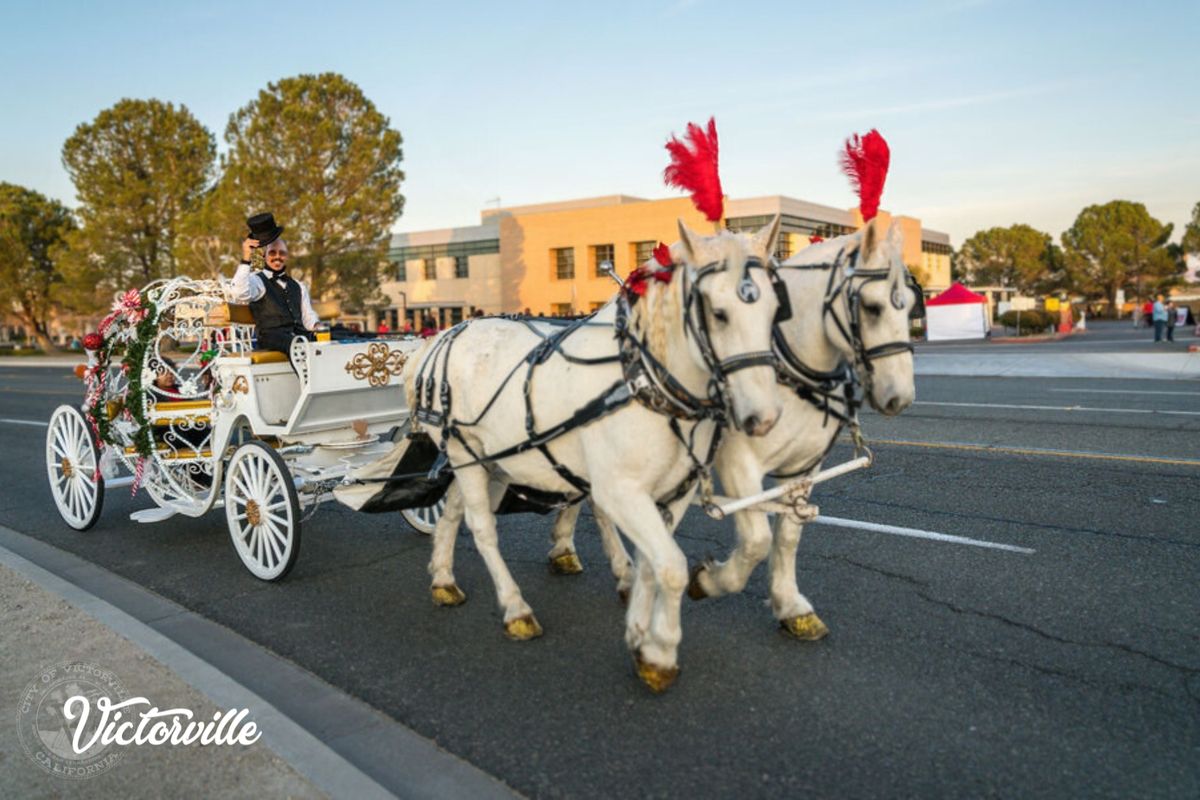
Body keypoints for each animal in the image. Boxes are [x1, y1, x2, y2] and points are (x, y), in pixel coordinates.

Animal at [408, 220, 787, 695]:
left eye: (776, 309)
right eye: (718, 313)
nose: (763, 417)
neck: (643, 378)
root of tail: (442, 337)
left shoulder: (671, 494)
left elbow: (651, 564)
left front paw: (641, 634)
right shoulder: (621, 491)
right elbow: (672, 567)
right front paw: (660, 653)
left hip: (487, 459)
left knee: (453, 512)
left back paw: (443, 578)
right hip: (465, 453)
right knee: (482, 529)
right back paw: (515, 608)